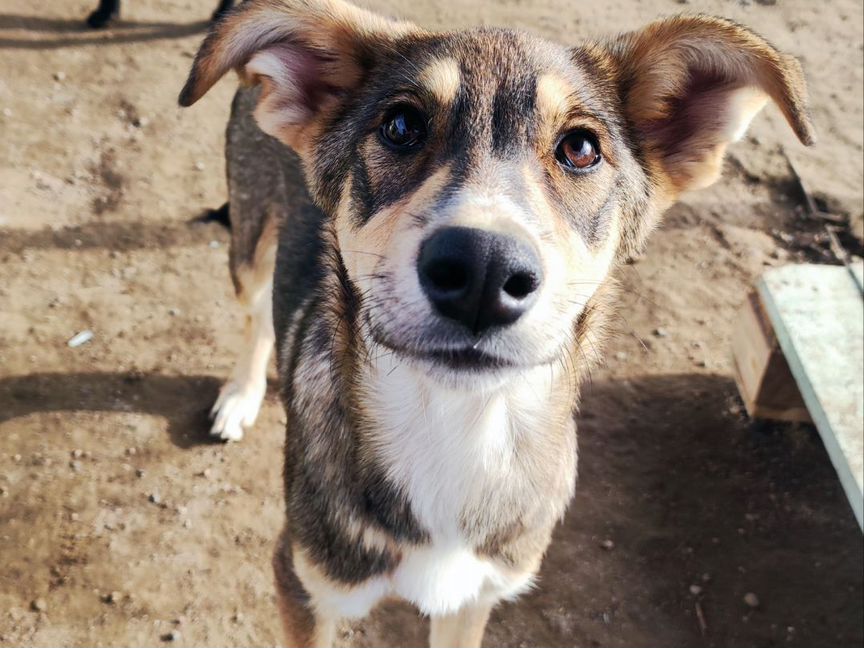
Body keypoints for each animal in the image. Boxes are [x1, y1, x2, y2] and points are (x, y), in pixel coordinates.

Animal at [179, 1, 812, 644]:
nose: (482, 270)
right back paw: (240, 396)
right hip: (250, 240)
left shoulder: (472, 598)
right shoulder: (304, 585)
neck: (459, 430)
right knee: (257, 316)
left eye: (581, 148)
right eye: (401, 126)